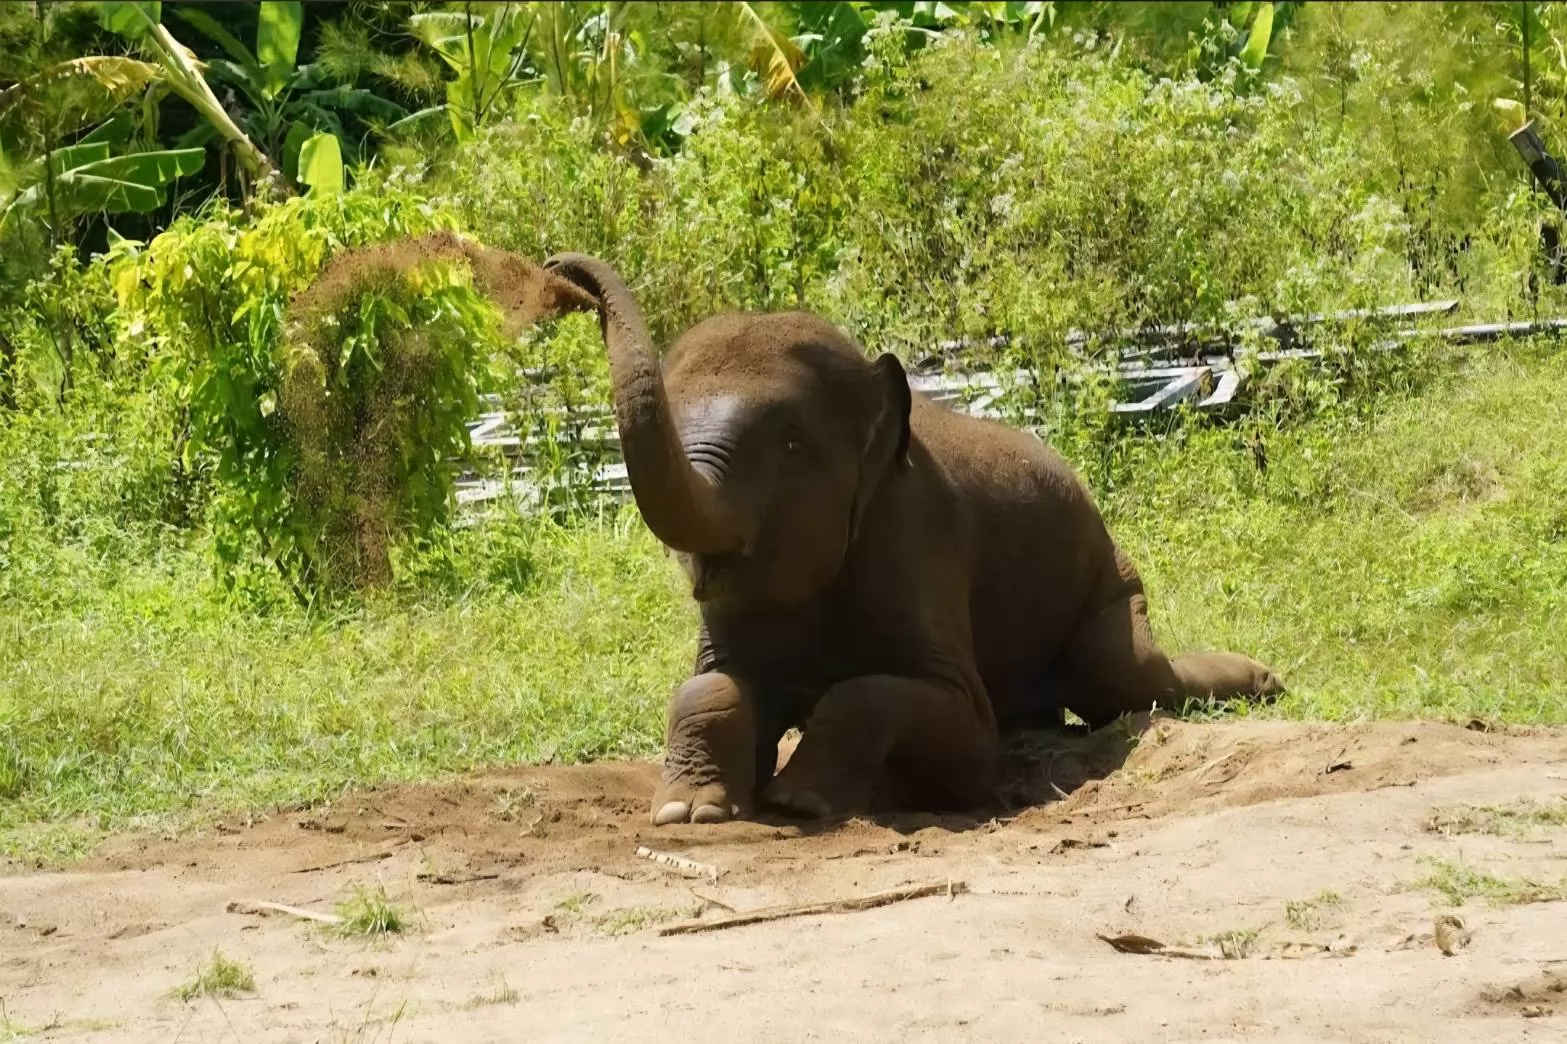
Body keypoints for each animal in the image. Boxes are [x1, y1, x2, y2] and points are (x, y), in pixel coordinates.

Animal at [523, 251, 1284, 826]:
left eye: (792, 443)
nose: (559, 269)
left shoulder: (916, 545)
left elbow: (927, 717)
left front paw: (803, 801)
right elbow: (708, 686)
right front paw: (691, 812)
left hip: (1110, 579)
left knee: (1121, 680)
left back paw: (1264, 680)